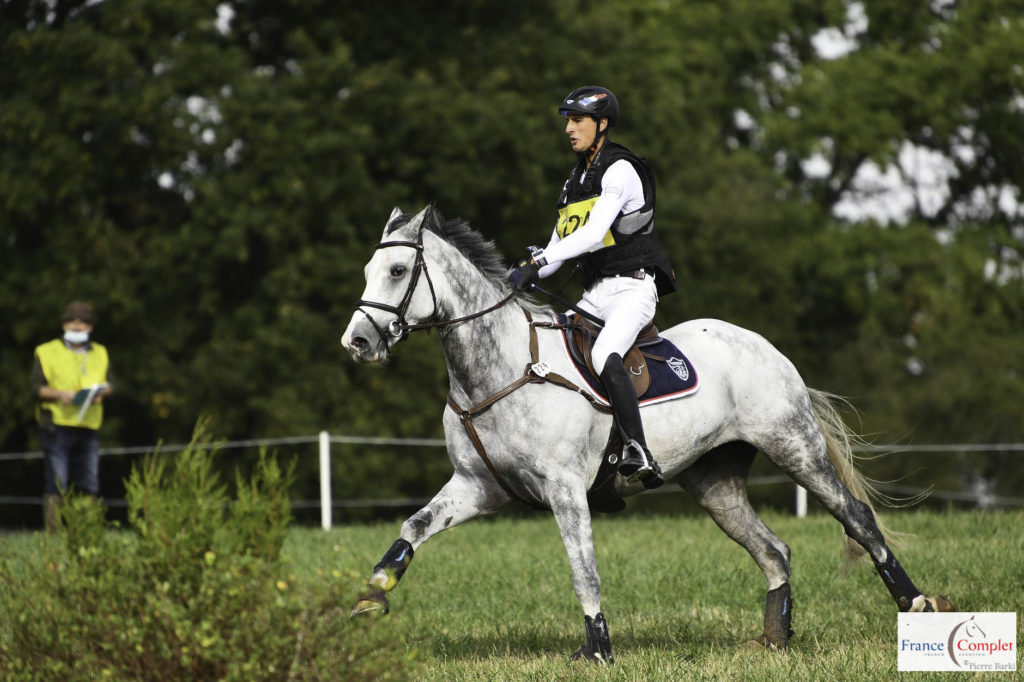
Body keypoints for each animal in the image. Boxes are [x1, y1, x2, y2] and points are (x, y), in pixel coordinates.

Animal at [339, 204, 954, 659]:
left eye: (398, 272)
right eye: (367, 272)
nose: (358, 343)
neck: (500, 368)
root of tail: (767, 347)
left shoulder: (565, 490)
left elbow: (583, 571)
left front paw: (598, 650)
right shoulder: (478, 486)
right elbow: (413, 527)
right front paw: (373, 595)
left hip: (794, 448)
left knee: (858, 518)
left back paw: (916, 604)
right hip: (714, 483)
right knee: (774, 550)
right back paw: (774, 640)